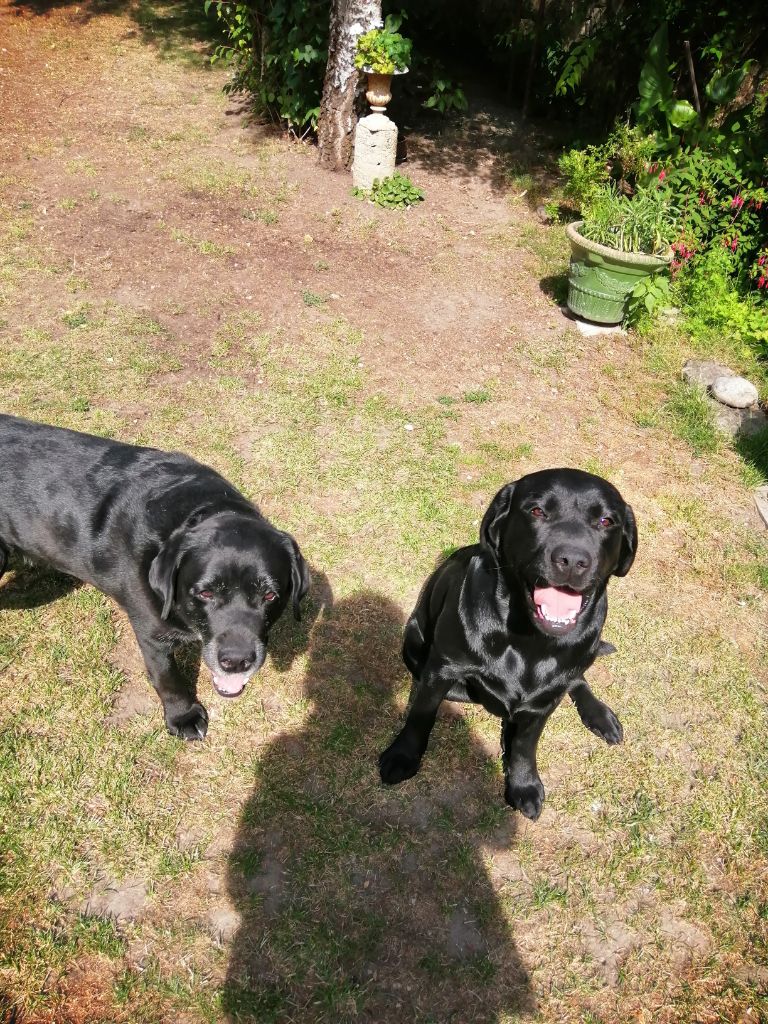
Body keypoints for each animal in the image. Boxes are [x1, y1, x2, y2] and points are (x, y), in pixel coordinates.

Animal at [2, 411, 313, 741]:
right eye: (205, 593)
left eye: (270, 595)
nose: (236, 661)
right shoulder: (151, 631)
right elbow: (167, 677)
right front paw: (183, 716)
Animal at [378, 468, 638, 819]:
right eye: (537, 511)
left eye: (606, 521)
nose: (572, 560)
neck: (529, 640)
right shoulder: (441, 671)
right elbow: (421, 717)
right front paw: (403, 756)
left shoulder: (543, 702)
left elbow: (525, 746)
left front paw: (523, 784)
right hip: (416, 643)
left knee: (578, 679)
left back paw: (598, 714)